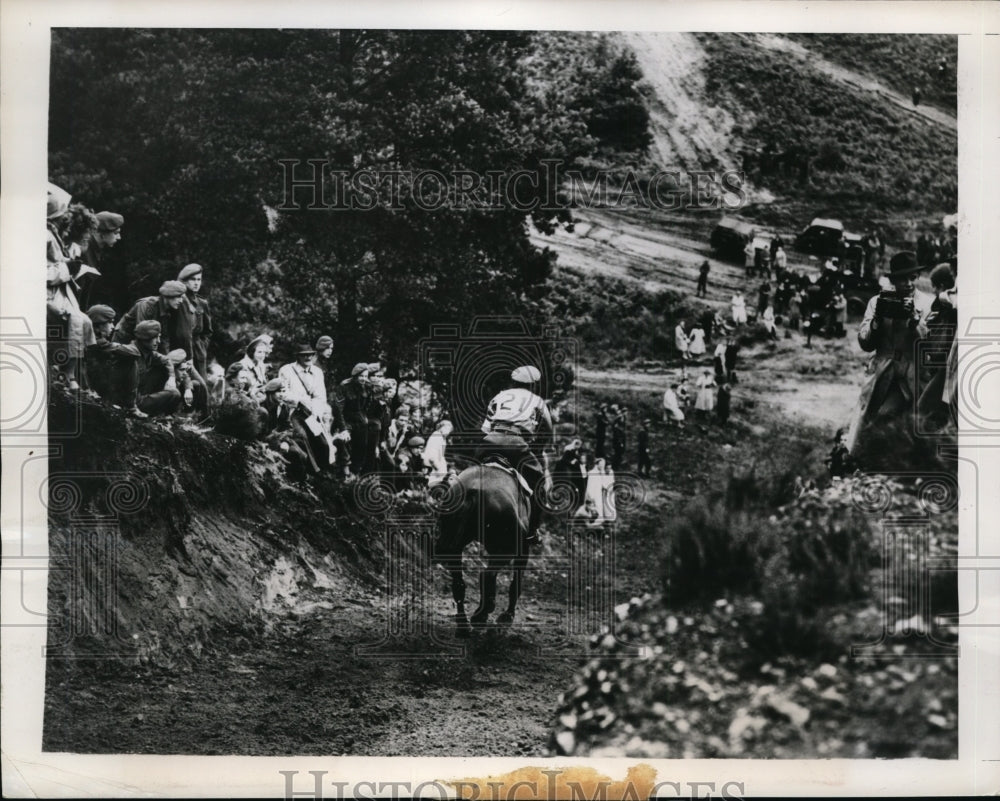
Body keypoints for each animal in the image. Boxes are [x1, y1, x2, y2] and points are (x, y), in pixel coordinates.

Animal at [434, 462, 536, 636]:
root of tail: (474, 491)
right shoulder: (520, 550)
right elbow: (515, 584)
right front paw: (507, 617)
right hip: (508, 548)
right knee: (486, 575)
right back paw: (482, 615)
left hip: (456, 546)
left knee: (459, 585)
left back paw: (464, 625)